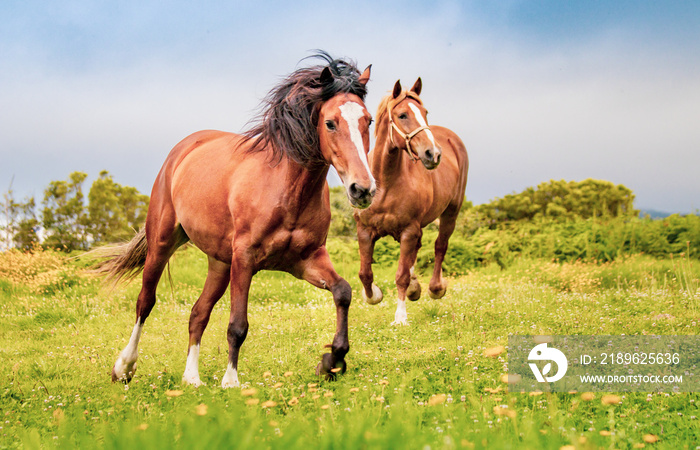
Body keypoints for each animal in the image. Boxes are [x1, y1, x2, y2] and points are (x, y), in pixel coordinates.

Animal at [97, 53, 378, 386]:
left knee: (198, 313)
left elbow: (343, 292)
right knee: (145, 302)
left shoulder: (305, 260)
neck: (286, 190)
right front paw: (231, 381)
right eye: (330, 123)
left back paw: (191, 378)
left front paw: (331, 361)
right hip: (162, 243)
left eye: (368, 121)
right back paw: (124, 367)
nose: (363, 189)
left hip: (219, 263)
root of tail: (184, 149)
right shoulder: (245, 258)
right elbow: (238, 325)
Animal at [352, 79, 468, 326]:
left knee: (440, 246)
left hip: (451, 211)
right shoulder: (365, 230)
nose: (433, 154)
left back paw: (435, 288)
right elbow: (365, 273)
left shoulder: (408, 230)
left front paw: (400, 317)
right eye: (402, 115)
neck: (385, 184)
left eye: (425, 113)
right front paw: (374, 295)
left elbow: (401, 276)